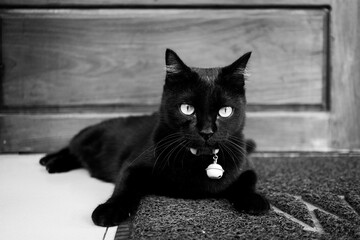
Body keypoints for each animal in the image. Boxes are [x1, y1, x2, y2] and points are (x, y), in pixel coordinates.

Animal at [40, 49, 270, 227]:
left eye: (225, 111)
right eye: (187, 108)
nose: (206, 132)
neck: (198, 160)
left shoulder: (245, 165)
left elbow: (248, 180)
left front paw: (254, 201)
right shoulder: (133, 165)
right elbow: (125, 186)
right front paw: (110, 209)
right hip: (89, 136)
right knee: (72, 147)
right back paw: (51, 161)